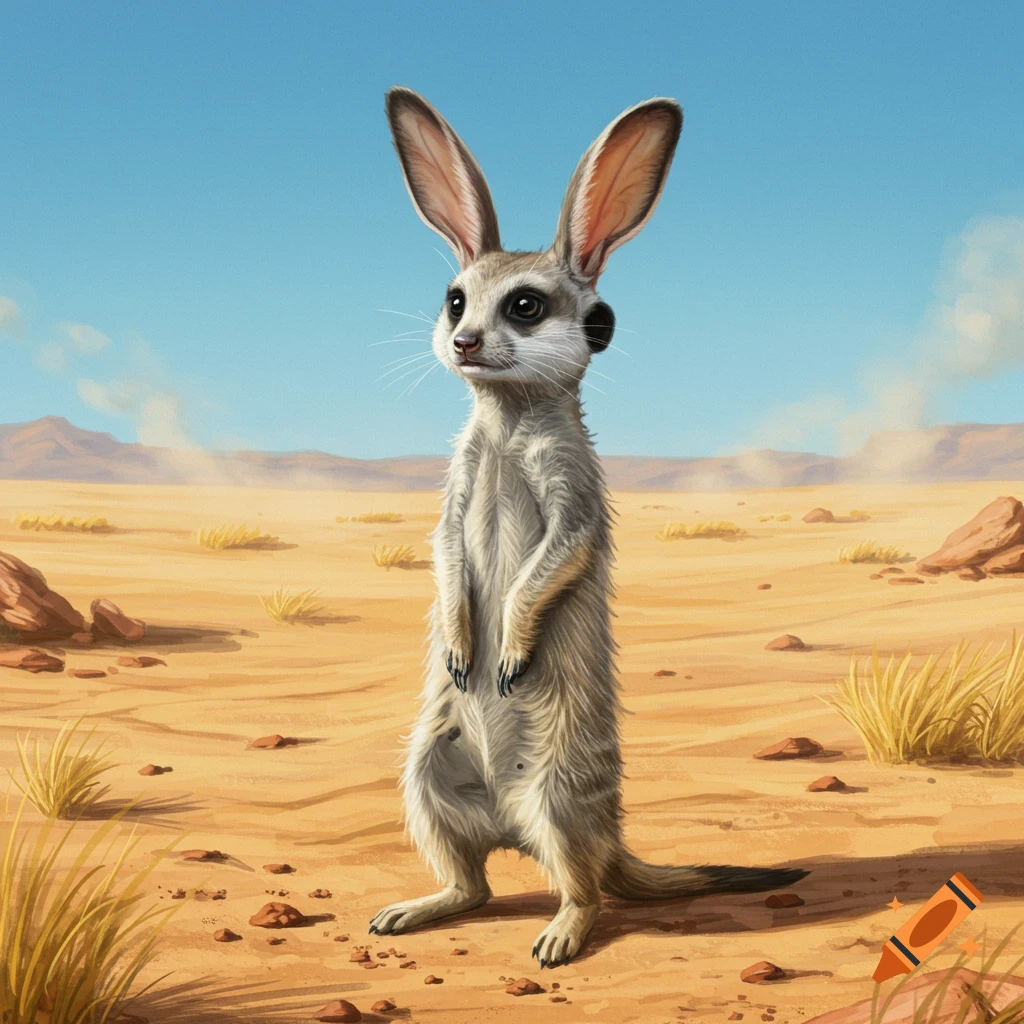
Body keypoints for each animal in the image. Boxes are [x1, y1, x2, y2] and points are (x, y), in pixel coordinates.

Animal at [369, 86, 807, 967]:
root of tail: (514, 826)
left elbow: (564, 548)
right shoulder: (459, 475)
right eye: (455, 298)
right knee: (473, 881)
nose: (463, 340)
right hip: (428, 770)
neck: (508, 425)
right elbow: (443, 545)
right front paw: (462, 636)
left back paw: (564, 929)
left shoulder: (578, 485)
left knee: (584, 883)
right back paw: (428, 901)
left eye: (525, 305)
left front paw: (509, 641)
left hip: (562, 786)